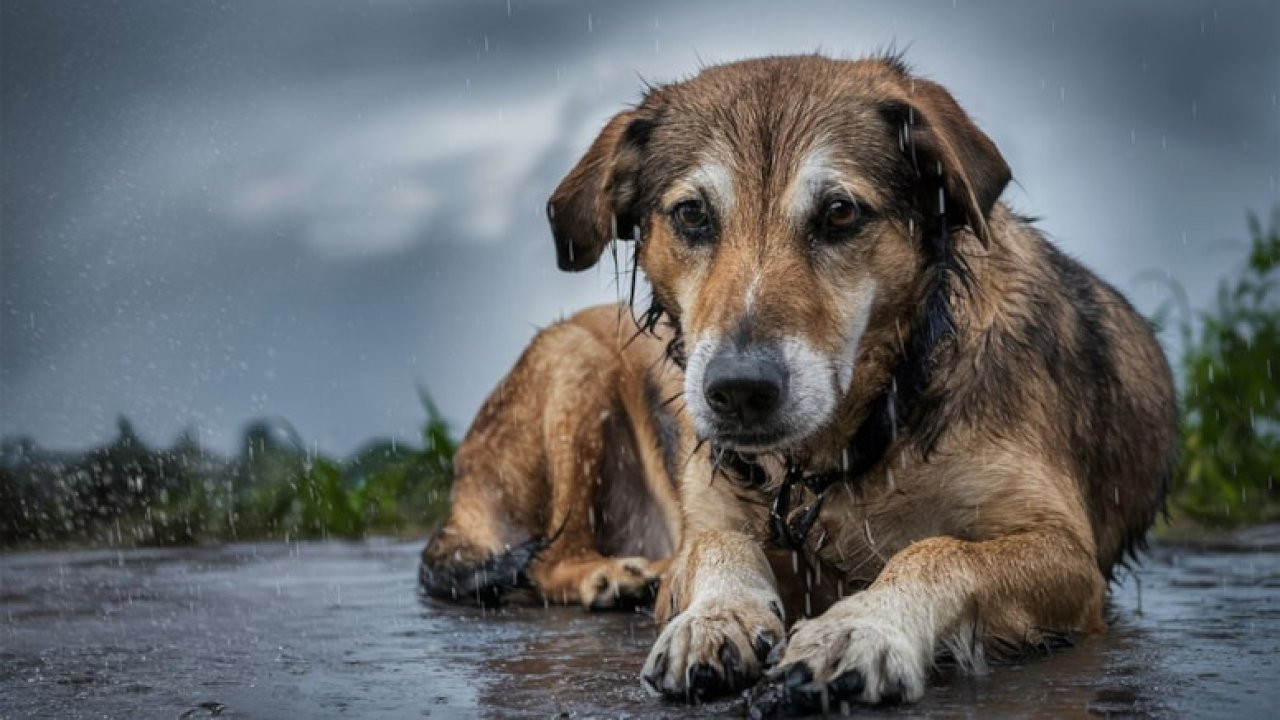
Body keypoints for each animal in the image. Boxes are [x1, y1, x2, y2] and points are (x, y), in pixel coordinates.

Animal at [422, 53, 1177, 707]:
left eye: (840, 212)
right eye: (692, 214)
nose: (739, 392)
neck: (851, 442)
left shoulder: (1070, 558)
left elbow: (940, 550)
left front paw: (864, 625)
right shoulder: (714, 516)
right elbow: (718, 543)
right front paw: (714, 617)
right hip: (572, 353)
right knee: (551, 555)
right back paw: (612, 575)